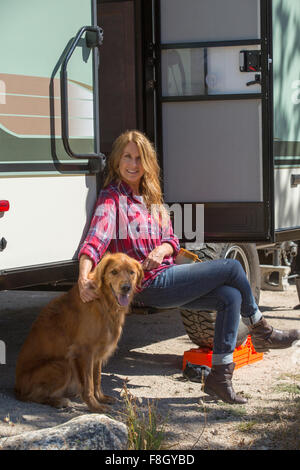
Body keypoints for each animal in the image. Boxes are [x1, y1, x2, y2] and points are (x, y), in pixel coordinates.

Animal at [14, 253, 144, 412]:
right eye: (114, 272)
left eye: (132, 272)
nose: (126, 287)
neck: (104, 302)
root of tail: (17, 388)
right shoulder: (84, 351)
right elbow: (88, 384)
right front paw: (95, 406)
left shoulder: (98, 351)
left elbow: (97, 378)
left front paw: (102, 398)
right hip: (62, 365)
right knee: (32, 396)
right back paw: (59, 401)